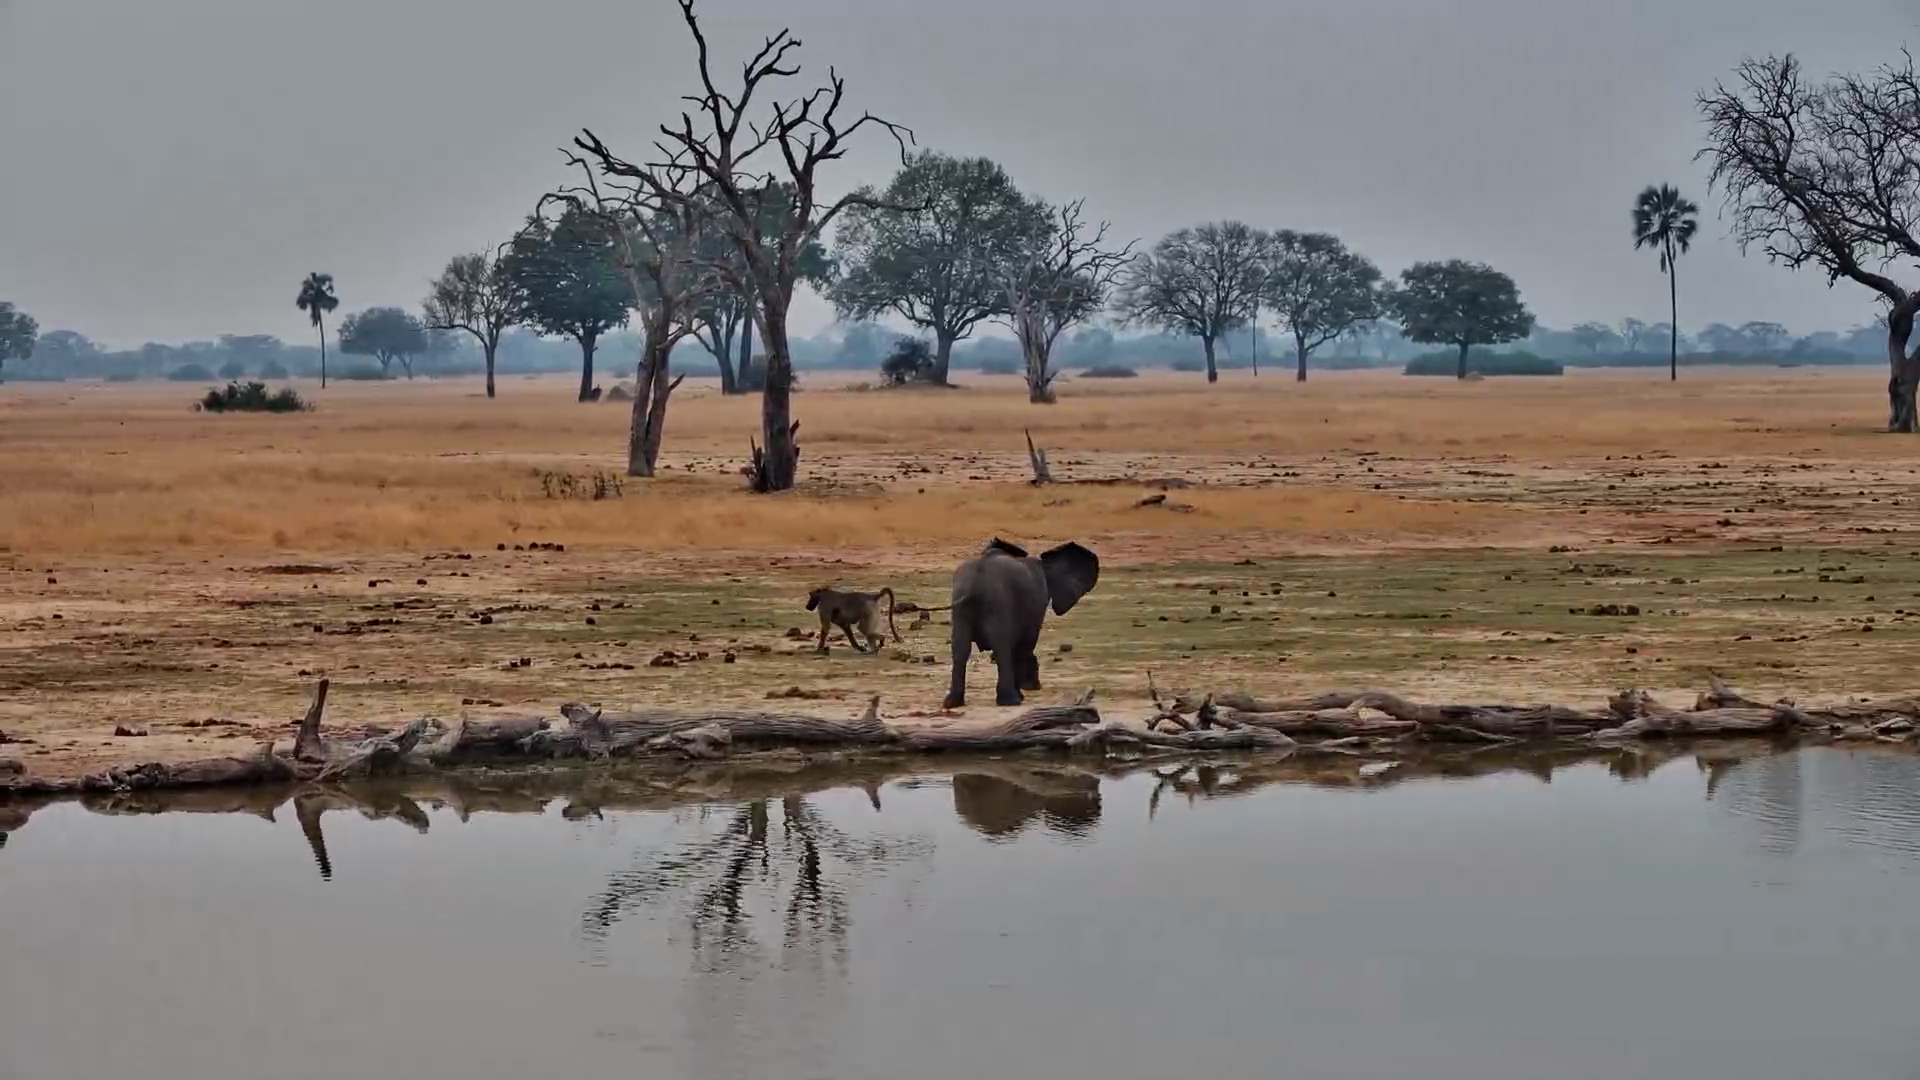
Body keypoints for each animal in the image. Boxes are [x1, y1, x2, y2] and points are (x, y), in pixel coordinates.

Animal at [943, 538, 1100, 708]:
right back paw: (1011, 701)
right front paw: (1023, 693)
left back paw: (952, 703)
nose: (1037, 686)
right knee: (1002, 647)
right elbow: (1026, 641)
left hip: (961, 604)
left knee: (961, 648)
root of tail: (974, 584)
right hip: (998, 601)